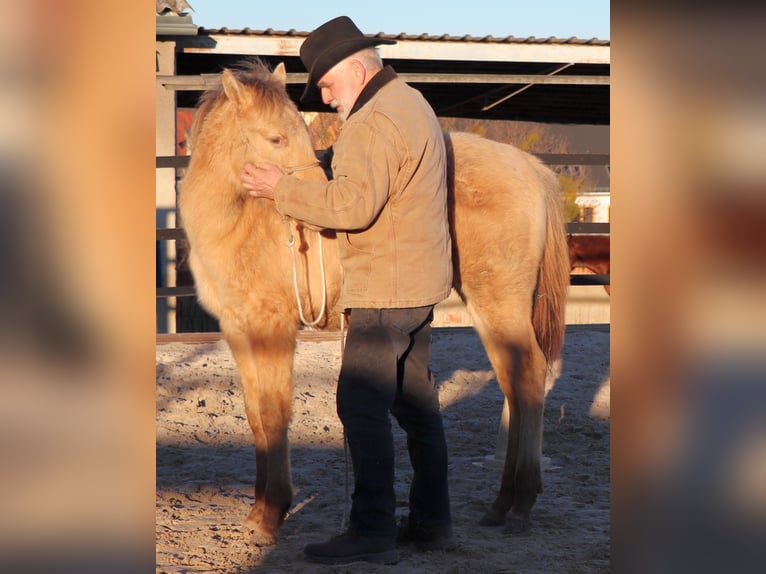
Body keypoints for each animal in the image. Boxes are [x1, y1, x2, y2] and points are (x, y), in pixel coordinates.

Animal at [178, 59, 568, 548]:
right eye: (276, 138)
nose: (318, 204)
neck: (242, 223)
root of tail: (529, 167)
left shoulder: (273, 327)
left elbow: (274, 412)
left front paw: (271, 514)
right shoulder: (236, 328)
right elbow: (254, 414)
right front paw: (258, 509)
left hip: (499, 302)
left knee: (529, 378)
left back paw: (520, 504)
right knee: (515, 383)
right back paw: (501, 505)